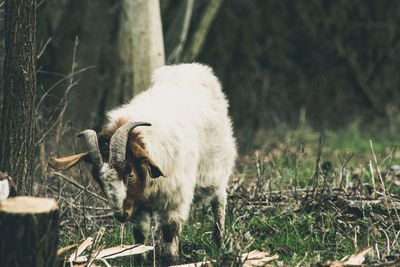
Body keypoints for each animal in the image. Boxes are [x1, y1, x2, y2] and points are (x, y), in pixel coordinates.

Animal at [50, 63, 238, 264]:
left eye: (130, 174)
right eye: (99, 180)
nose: (121, 215)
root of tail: (190, 67)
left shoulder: (174, 200)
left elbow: (170, 233)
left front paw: (170, 260)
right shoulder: (137, 205)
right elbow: (139, 237)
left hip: (216, 169)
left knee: (219, 201)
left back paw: (220, 244)